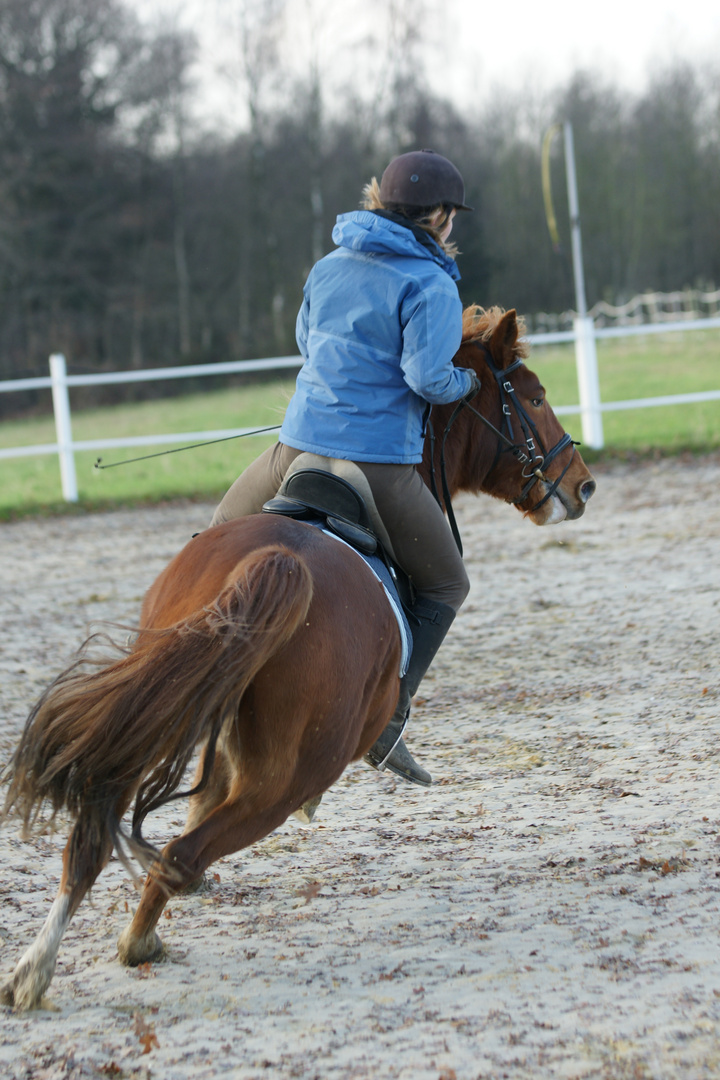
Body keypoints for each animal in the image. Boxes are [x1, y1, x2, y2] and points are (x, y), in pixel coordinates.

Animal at [1, 306, 595, 1010]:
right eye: (534, 397)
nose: (582, 484)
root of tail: (277, 559)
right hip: (288, 778)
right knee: (183, 852)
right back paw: (139, 942)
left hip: (151, 706)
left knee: (95, 830)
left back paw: (36, 967)